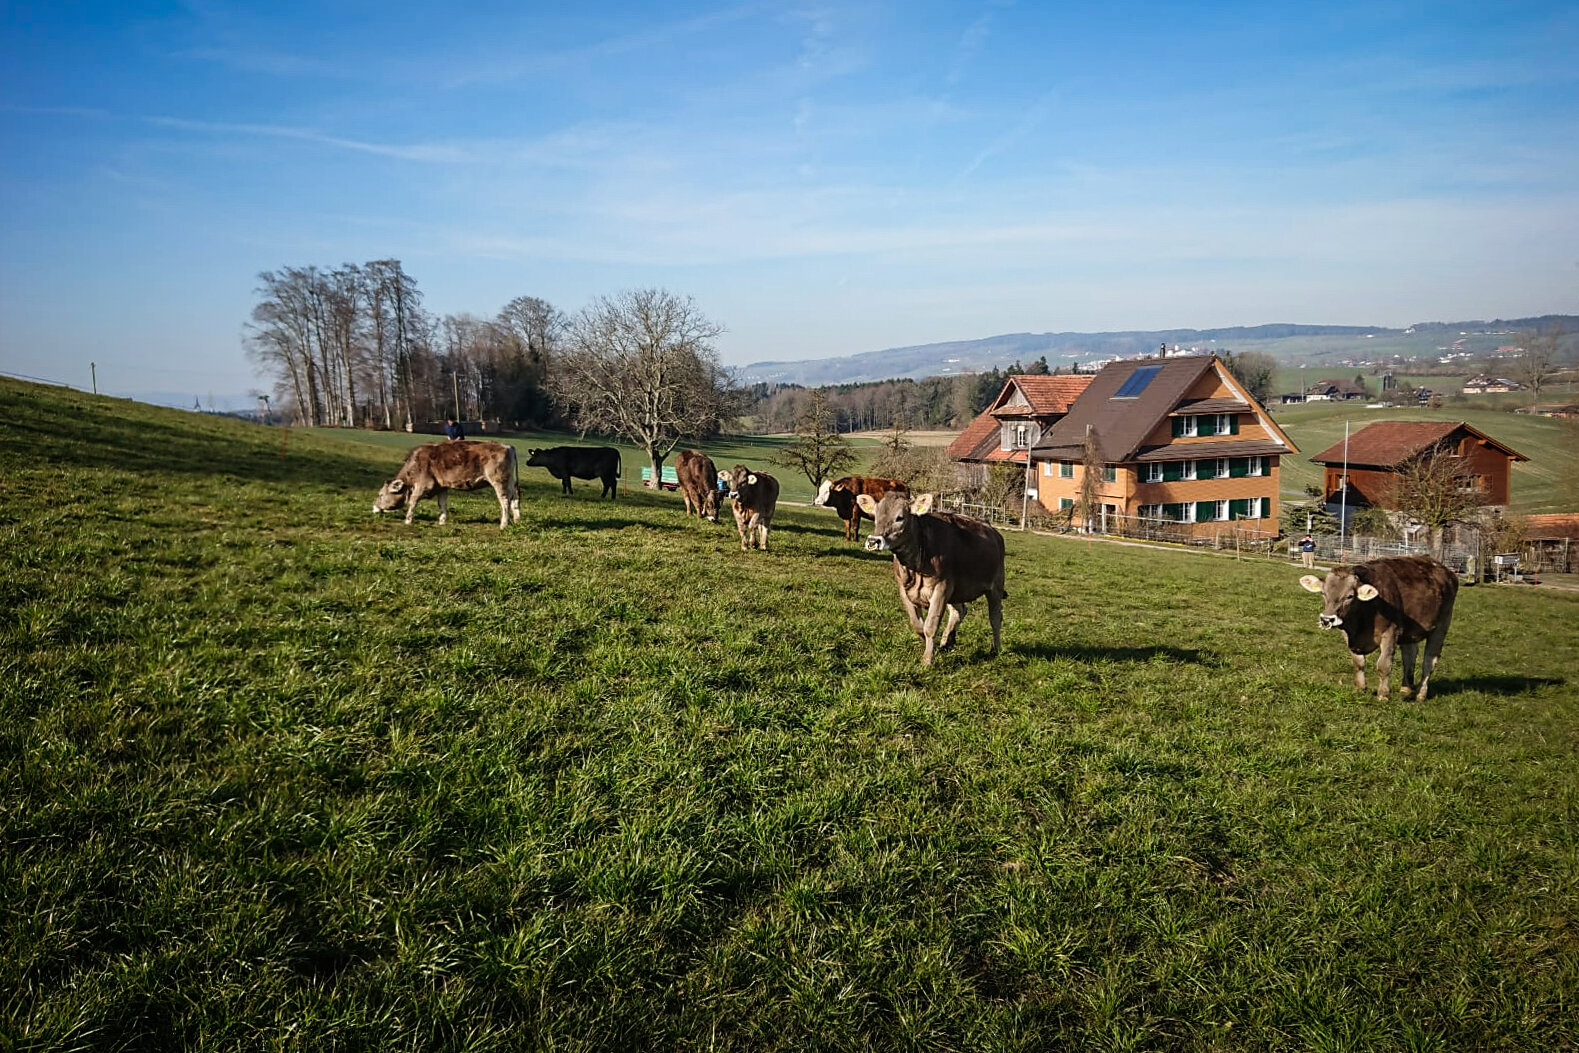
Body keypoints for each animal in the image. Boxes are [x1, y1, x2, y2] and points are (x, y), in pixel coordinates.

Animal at [372, 442, 521, 530]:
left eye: (381, 494)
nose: (373, 507)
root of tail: (508, 446)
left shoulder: (423, 485)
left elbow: (413, 501)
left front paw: (408, 520)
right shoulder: (442, 487)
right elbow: (442, 503)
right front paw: (442, 521)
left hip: (499, 481)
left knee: (505, 501)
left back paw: (504, 524)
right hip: (510, 482)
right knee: (515, 499)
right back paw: (516, 520)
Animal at [858, 489, 1004, 666]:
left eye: (900, 517)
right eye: (876, 515)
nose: (873, 541)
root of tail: (992, 530)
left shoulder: (942, 587)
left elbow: (930, 625)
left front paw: (928, 659)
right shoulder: (904, 590)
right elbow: (918, 625)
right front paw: (931, 645)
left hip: (996, 585)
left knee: (995, 618)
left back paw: (995, 649)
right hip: (957, 591)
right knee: (959, 611)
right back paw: (947, 642)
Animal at [1301, 555, 1458, 704]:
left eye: (1350, 596)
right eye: (1323, 593)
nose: (1327, 619)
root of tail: (1446, 571)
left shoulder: (1390, 632)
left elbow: (1384, 665)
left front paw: (1383, 695)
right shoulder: (1348, 637)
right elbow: (1358, 663)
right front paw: (1360, 689)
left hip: (1441, 627)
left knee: (1429, 662)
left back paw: (1420, 693)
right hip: (1409, 631)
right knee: (1410, 655)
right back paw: (1406, 688)